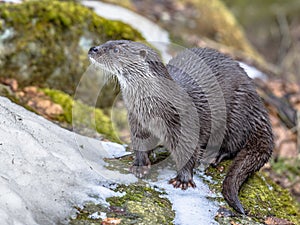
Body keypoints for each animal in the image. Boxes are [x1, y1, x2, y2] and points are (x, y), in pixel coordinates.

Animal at [88, 40, 274, 214]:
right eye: (107, 42)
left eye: (116, 49)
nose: (93, 49)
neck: (154, 106)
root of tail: (257, 101)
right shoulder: (137, 120)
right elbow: (140, 144)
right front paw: (140, 165)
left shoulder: (185, 123)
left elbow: (189, 149)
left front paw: (182, 179)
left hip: (237, 111)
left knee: (234, 142)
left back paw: (213, 155)